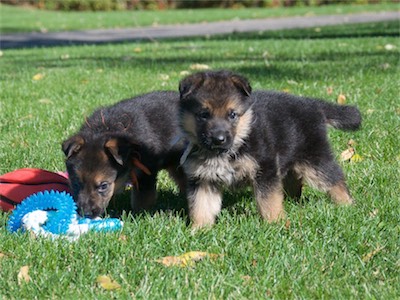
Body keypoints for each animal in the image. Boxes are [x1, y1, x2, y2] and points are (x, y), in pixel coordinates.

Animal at [178, 70, 362, 229]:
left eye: (232, 115)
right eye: (204, 115)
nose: (219, 139)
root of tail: (313, 104)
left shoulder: (265, 170)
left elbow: (268, 200)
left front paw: (275, 223)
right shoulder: (203, 179)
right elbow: (201, 206)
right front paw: (199, 229)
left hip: (315, 159)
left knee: (335, 179)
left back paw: (347, 205)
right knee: (295, 181)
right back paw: (293, 202)